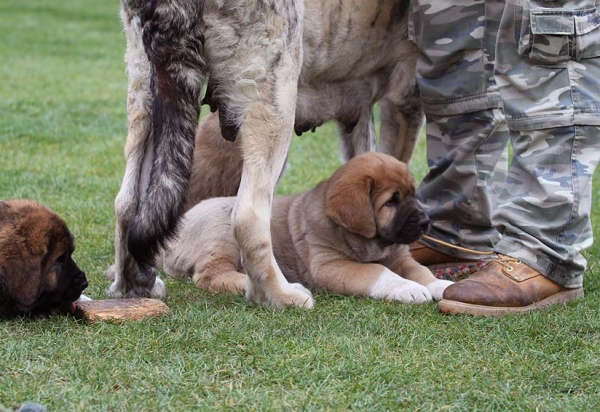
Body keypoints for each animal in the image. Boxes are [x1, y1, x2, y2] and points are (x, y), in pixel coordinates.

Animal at [159, 153, 450, 304]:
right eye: (392, 202)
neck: (370, 243)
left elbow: (421, 271)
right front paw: (407, 288)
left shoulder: (401, 258)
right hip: (222, 232)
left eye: (412, 194)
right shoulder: (329, 266)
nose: (425, 222)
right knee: (211, 276)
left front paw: (440, 284)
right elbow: (377, 271)